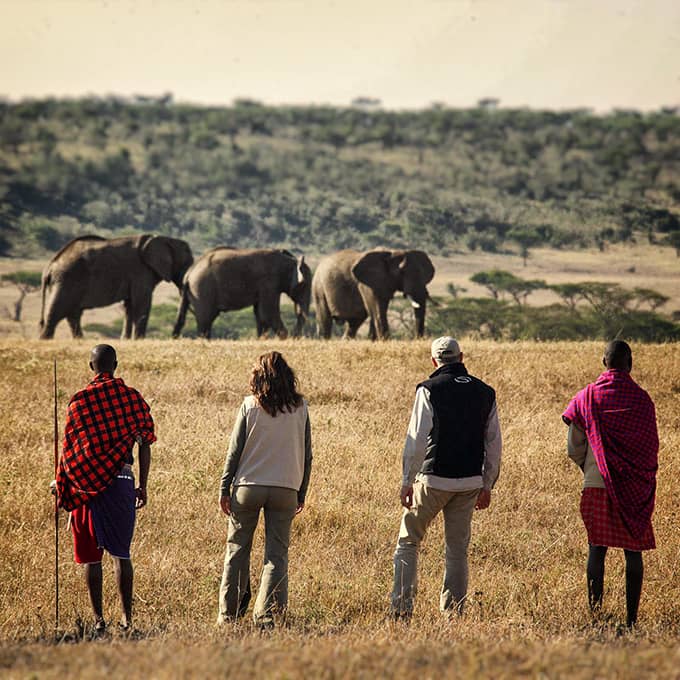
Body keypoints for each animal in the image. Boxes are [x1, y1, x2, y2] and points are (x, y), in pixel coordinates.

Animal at [39, 234, 194, 340]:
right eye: (186, 263)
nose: (174, 337)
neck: (164, 239)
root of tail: (49, 266)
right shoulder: (140, 271)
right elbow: (141, 303)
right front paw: (139, 340)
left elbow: (129, 306)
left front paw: (126, 340)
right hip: (66, 280)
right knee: (56, 313)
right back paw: (46, 341)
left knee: (73, 315)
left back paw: (79, 340)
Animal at [174, 247, 314, 340]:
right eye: (304, 285)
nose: (296, 336)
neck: (290, 260)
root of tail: (189, 274)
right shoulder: (269, 282)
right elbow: (267, 313)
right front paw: (285, 338)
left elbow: (260, 314)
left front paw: (262, 340)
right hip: (203, 290)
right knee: (205, 319)